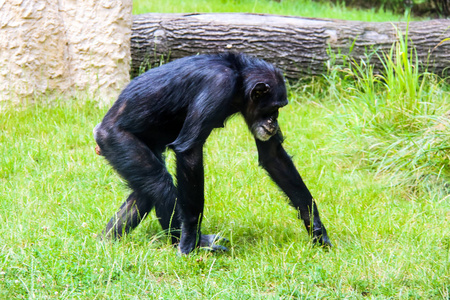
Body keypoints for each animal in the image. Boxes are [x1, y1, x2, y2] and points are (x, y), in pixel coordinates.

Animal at [93, 51, 330, 253]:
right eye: (274, 108)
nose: (274, 121)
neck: (238, 80)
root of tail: (99, 129)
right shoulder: (217, 85)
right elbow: (190, 152)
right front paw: (190, 239)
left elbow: (273, 156)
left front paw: (316, 227)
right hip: (117, 140)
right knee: (159, 185)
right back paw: (190, 240)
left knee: (143, 193)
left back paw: (106, 241)